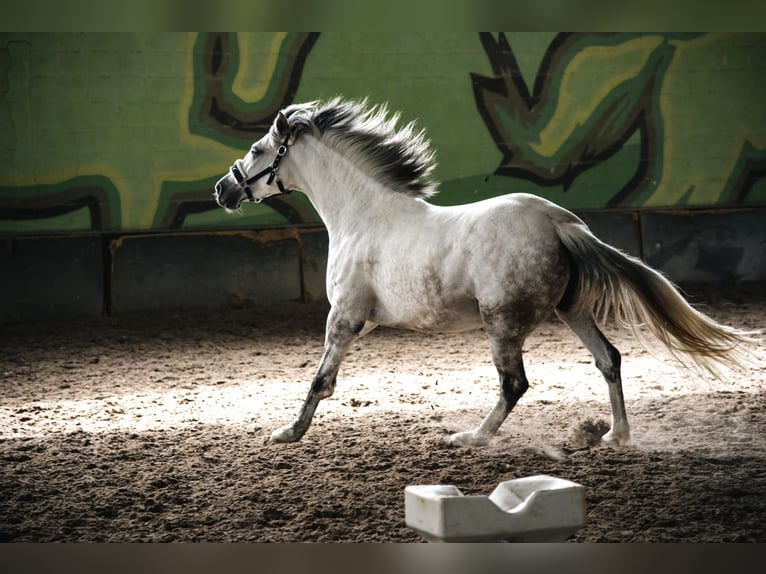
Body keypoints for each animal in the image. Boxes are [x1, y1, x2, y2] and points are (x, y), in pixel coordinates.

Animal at [214, 97, 751, 447]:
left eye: (259, 150)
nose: (224, 188)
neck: (361, 215)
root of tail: (559, 222)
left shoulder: (344, 316)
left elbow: (321, 380)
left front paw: (288, 432)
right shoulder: (362, 321)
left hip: (502, 321)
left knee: (515, 384)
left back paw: (472, 436)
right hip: (571, 310)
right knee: (609, 359)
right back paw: (615, 436)